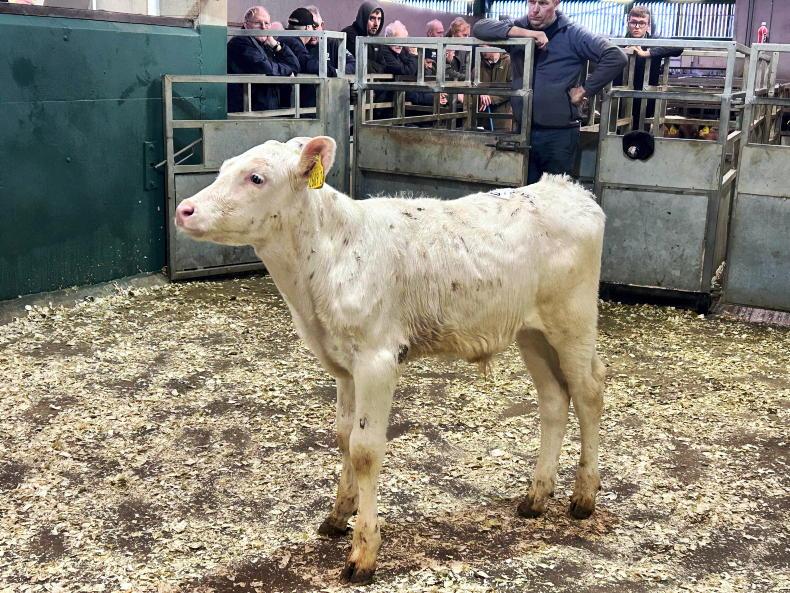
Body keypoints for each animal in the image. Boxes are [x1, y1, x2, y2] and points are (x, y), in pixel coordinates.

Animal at [175, 136, 606, 584]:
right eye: (224, 168)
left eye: (256, 177)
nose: (184, 209)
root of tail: (567, 187)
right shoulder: (344, 367)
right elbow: (343, 437)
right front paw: (337, 515)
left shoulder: (377, 359)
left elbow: (365, 449)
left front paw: (363, 552)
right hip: (532, 332)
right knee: (554, 400)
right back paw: (536, 496)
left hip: (573, 320)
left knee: (589, 393)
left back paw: (583, 496)